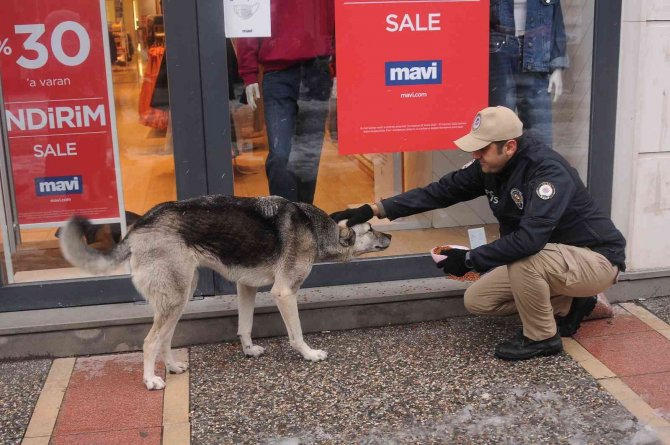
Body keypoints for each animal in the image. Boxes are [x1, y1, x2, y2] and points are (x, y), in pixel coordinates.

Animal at [61, 194, 394, 388]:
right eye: (371, 229)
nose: (390, 236)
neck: (315, 229)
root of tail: (139, 226)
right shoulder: (284, 293)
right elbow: (296, 334)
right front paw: (309, 354)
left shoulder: (246, 287)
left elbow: (244, 326)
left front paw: (248, 350)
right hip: (175, 299)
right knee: (150, 341)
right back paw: (151, 379)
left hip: (181, 297)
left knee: (164, 339)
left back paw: (172, 366)